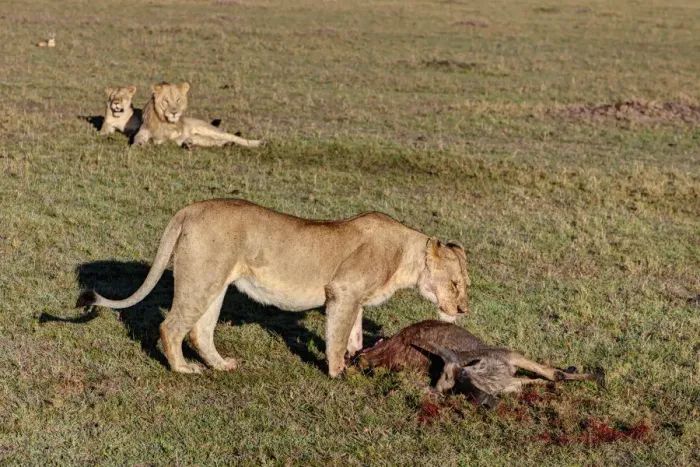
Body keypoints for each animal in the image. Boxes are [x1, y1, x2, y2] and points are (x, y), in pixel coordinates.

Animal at [76, 199, 471, 377]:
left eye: (466, 285)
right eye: (454, 284)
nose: (463, 309)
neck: (407, 255)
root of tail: (191, 208)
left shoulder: (353, 297)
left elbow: (354, 331)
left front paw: (355, 356)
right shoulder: (342, 290)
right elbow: (337, 334)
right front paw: (337, 373)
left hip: (214, 283)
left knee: (200, 332)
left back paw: (221, 365)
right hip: (201, 279)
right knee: (171, 327)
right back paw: (184, 370)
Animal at [131, 82, 266, 149]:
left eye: (178, 100)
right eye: (166, 101)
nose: (174, 112)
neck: (164, 121)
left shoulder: (177, 135)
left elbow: (170, 139)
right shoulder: (143, 131)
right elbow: (138, 138)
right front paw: (138, 145)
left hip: (209, 129)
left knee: (233, 137)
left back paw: (259, 143)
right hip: (203, 138)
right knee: (215, 141)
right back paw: (227, 144)